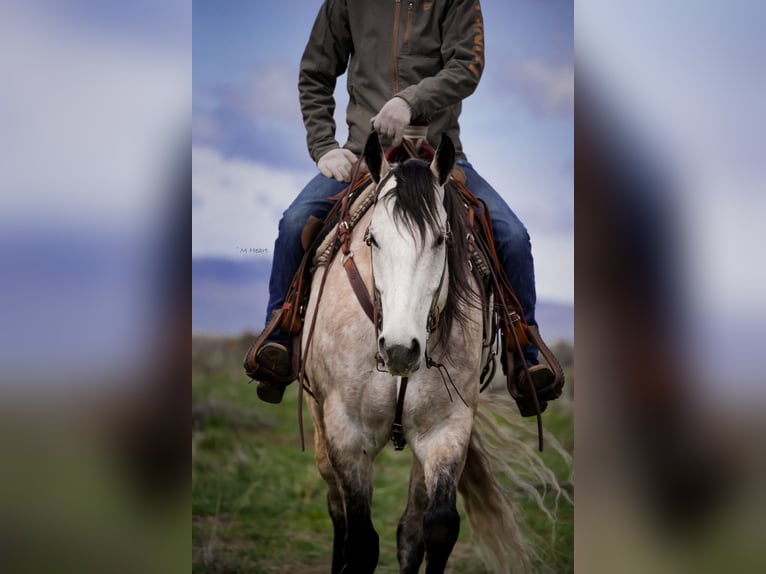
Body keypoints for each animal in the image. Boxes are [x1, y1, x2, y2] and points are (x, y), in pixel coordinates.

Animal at [301, 132, 559, 573]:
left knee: (410, 528)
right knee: (337, 508)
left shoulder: (446, 428)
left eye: (441, 238)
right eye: (373, 238)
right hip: (320, 425)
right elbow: (361, 541)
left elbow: (436, 528)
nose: (400, 349)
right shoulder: (347, 431)